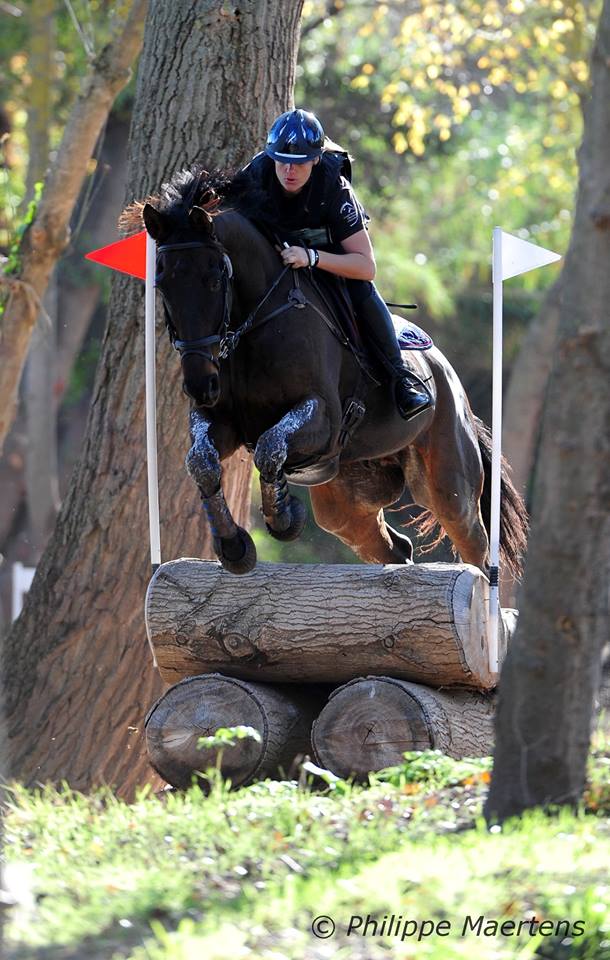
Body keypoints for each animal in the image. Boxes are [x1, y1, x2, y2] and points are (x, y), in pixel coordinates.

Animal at [121, 167, 524, 576]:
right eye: (162, 285)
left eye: (214, 279)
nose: (200, 384)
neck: (255, 322)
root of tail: (447, 374)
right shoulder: (220, 420)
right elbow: (201, 462)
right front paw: (234, 547)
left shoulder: (324, 419)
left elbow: (270, 448)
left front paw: (283, 518)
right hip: (346, 501)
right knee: (393, 546)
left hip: (448, 484)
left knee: (474, 545)